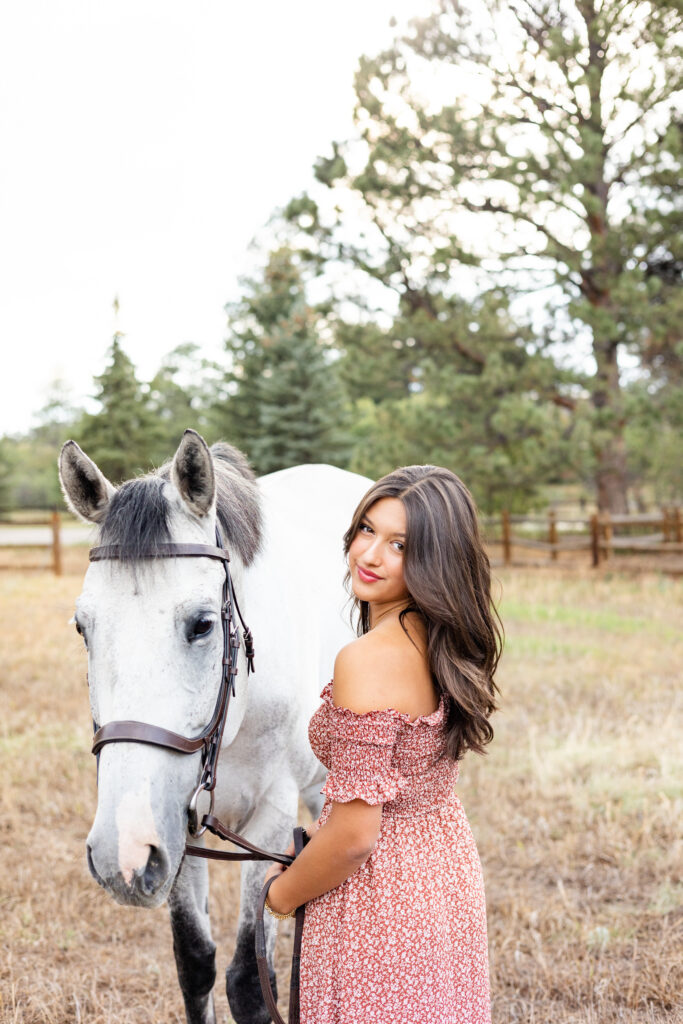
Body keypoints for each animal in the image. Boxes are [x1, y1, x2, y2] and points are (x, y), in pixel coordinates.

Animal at [58, 430, 368, 1024]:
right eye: (82, 627)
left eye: (202, 624)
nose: (117, 855)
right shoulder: (171, 829)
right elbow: (195, 961)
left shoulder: (269, 818)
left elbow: (250, 980)